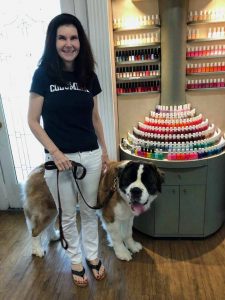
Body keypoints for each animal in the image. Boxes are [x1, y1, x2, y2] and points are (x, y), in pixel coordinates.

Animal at [22, 159, 163, 260]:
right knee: (34, 231)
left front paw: (132, 246)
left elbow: (128, 233)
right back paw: (38, 250)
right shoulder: (110, 217)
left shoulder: (128, 216)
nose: (136, 190)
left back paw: (53, 236)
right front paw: (122, 252)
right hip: (46, 210)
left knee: (48, 225)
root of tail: (35, 171)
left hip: (53, 208)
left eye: (147, 182)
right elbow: (117, 236)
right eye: (129, 180)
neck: (117, 188)